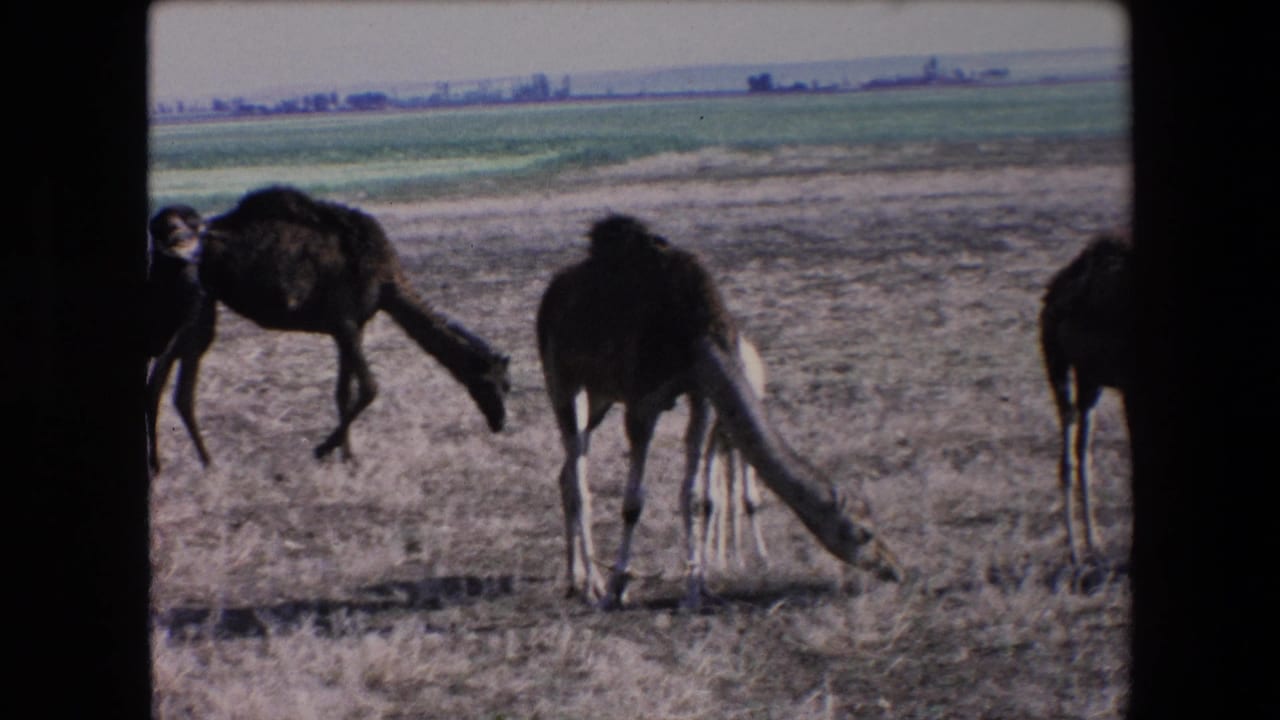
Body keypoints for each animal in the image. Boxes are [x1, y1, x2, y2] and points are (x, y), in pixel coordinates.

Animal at [145, 186, 510, 472]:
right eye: (495, 382)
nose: (501, 422)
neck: (386, 283)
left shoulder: (348, 328)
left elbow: (343, 393)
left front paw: (348, 457)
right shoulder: (345, 322)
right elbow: (370, 388)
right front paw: (323, 450)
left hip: (199, 309)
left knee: (169, 384)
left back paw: (179, 464)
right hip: (193, 306)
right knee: (168, 383)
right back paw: (190, 464)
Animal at [702, 335, 770, 569]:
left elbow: (748, 499)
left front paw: (761, 557)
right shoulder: (716, 439)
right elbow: (711, 500)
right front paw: (712, 560)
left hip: (732, 445)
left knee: (733, 493)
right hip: (723, 444)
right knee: (724, 494)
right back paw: (722, 556)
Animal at [1039, 231, 1134, 565]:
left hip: (1090, 378)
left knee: (1081, 451)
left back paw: (1092, 543)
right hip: (1059, 364)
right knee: (1069, 452)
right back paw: (1076, 549)